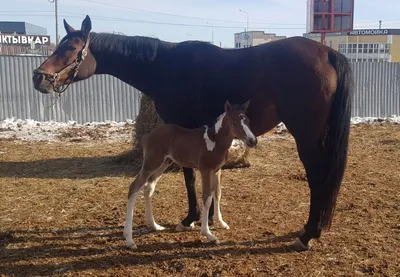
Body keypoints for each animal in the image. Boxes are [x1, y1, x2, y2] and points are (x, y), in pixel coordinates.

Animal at [123, 99, 258, 248]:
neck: (215, 141)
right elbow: (207, 197)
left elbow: (217, 194)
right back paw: (129, 239)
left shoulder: (217, 170)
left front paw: (221, 223)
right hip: (151, 163)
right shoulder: (205, 170)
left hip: (164, 163)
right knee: (134, 188)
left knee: (148, 187)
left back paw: (154, 225)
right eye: (234, 122)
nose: (253, 140)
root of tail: (147, 136)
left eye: (248, 120)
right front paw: (208, 234)